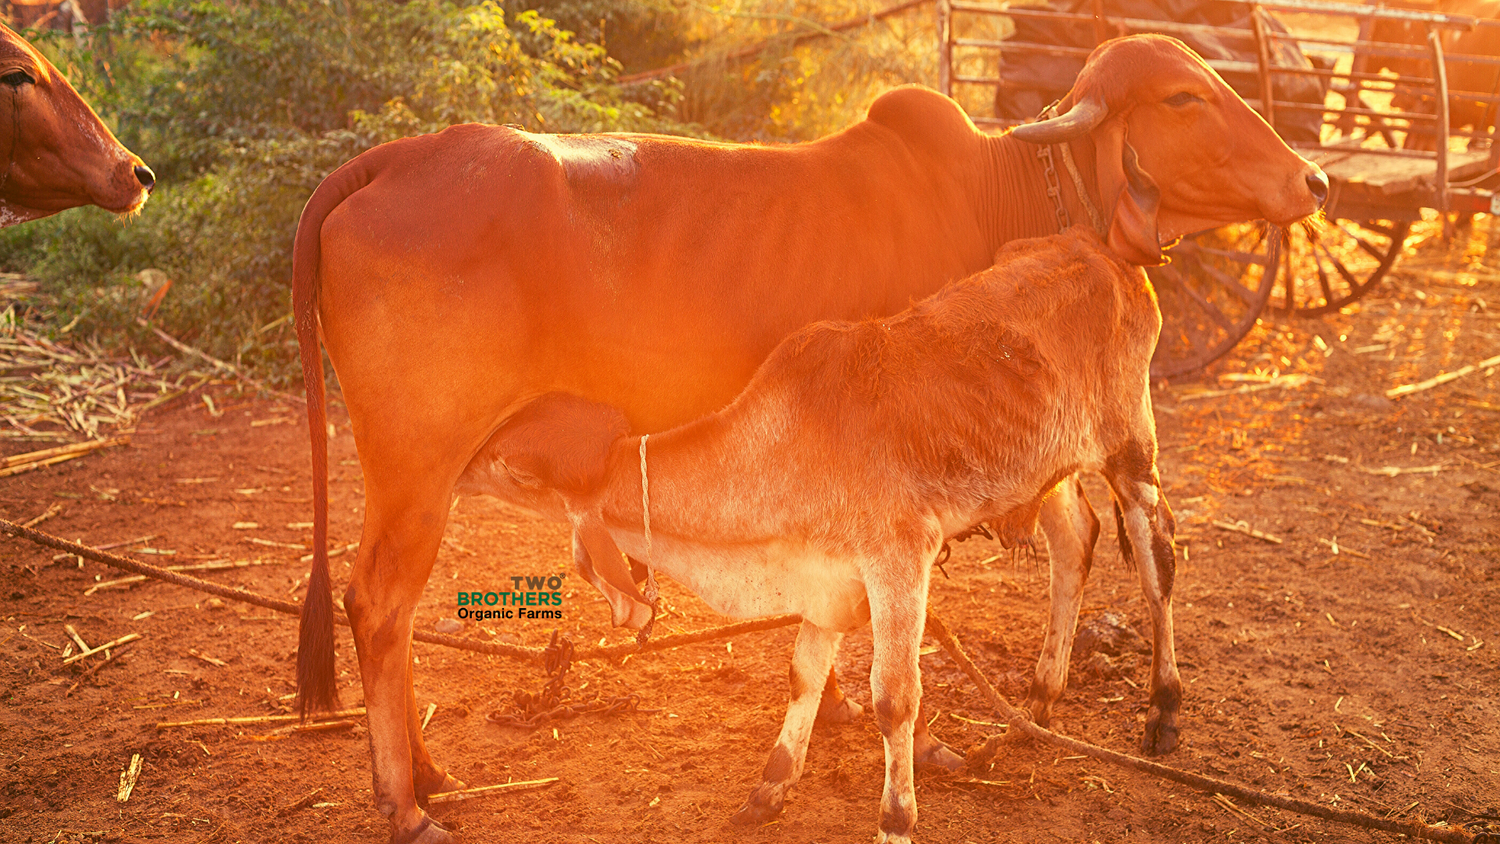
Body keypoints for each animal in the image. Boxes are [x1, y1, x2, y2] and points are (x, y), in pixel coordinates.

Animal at [486, 224, 1176, 844]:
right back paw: (1037, 703)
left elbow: (894, 698)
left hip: (1130, 445)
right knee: (1075, 543)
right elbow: (803, 675)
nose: (469, 457)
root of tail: (1099, 248)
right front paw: (769, 790)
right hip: (1047, 469)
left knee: (1157, 561)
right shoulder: (822, 571)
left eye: (509, 464)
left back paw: (1163, 711)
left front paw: (895, 821)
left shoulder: (899, 558)